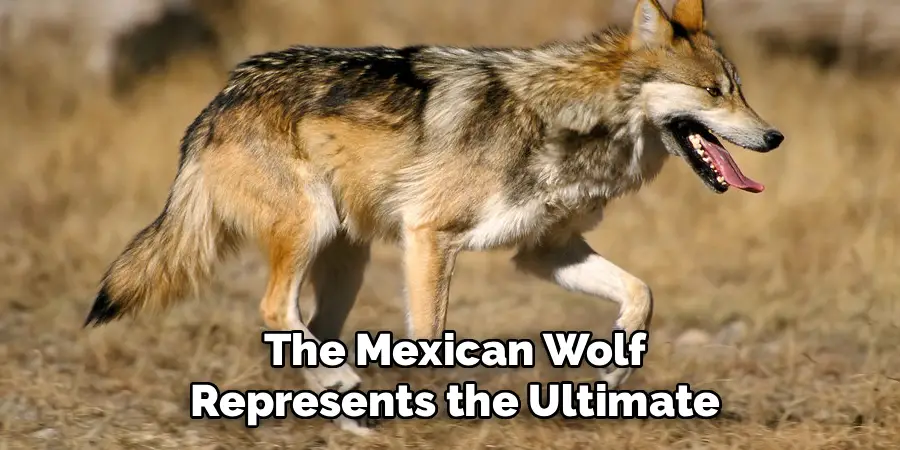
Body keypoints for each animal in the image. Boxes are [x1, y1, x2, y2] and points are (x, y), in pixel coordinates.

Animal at [84, 0, 783, 434]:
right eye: (715, 92)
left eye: (741, 89)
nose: (775, 136)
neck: (573, 121)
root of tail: (221, 97)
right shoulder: (430, 237)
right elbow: (431, 337)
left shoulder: (543, 252)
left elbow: (641, 294)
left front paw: (612, 375)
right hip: (312, 231)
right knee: (275, 311)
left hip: (348, 258)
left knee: (313, 328)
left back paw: (352, 413)